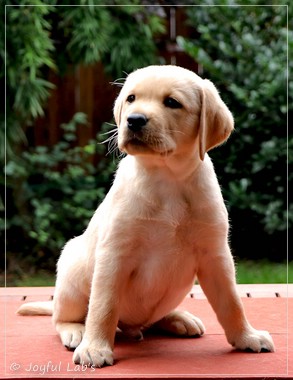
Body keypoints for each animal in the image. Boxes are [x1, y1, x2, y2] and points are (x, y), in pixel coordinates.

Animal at [18, 66, 274, 368]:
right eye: (131, 98)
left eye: (172, 102)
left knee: (152, 320)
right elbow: (103, 306)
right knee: (64, 316)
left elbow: (232, 302)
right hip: (71, 271)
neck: (167, 177)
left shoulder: (215, 255)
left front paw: (247, 337)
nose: (134, 120)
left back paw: (178, 318)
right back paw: (76, 331)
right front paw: (95, 348)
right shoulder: (114, 254)